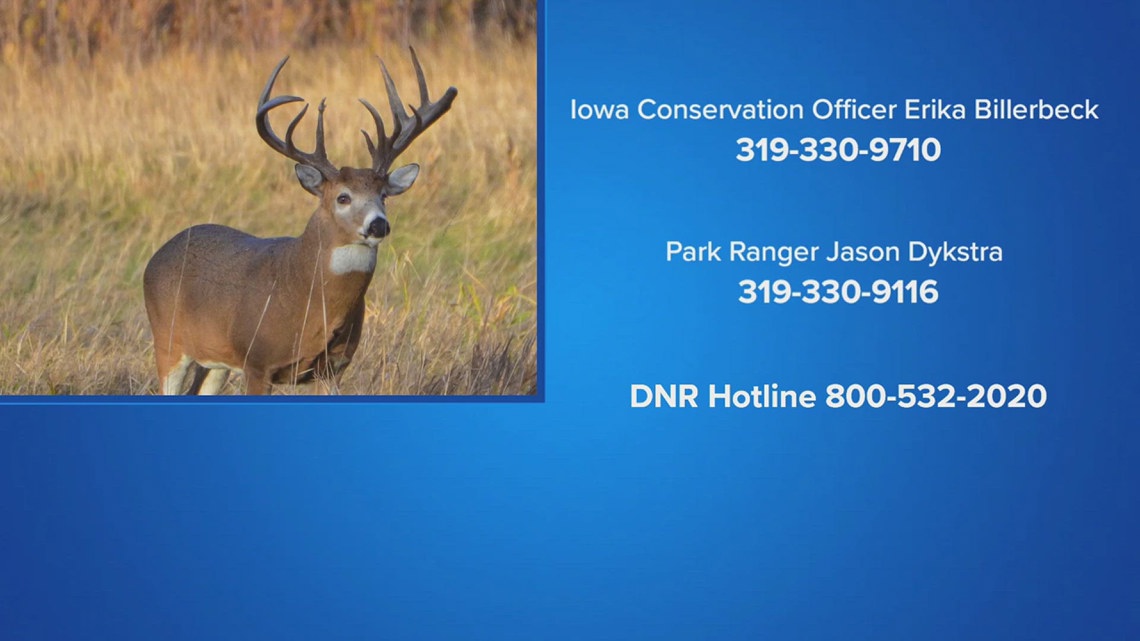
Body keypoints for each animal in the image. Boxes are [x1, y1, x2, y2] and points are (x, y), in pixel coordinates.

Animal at [143, 49, 457, 395]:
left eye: (383, 195)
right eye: (343, 197)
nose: (378, 225)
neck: (306, 294)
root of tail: (158, 255)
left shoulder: (332, 368)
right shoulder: (257, 362)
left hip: (214, 360)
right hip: (168, 340)